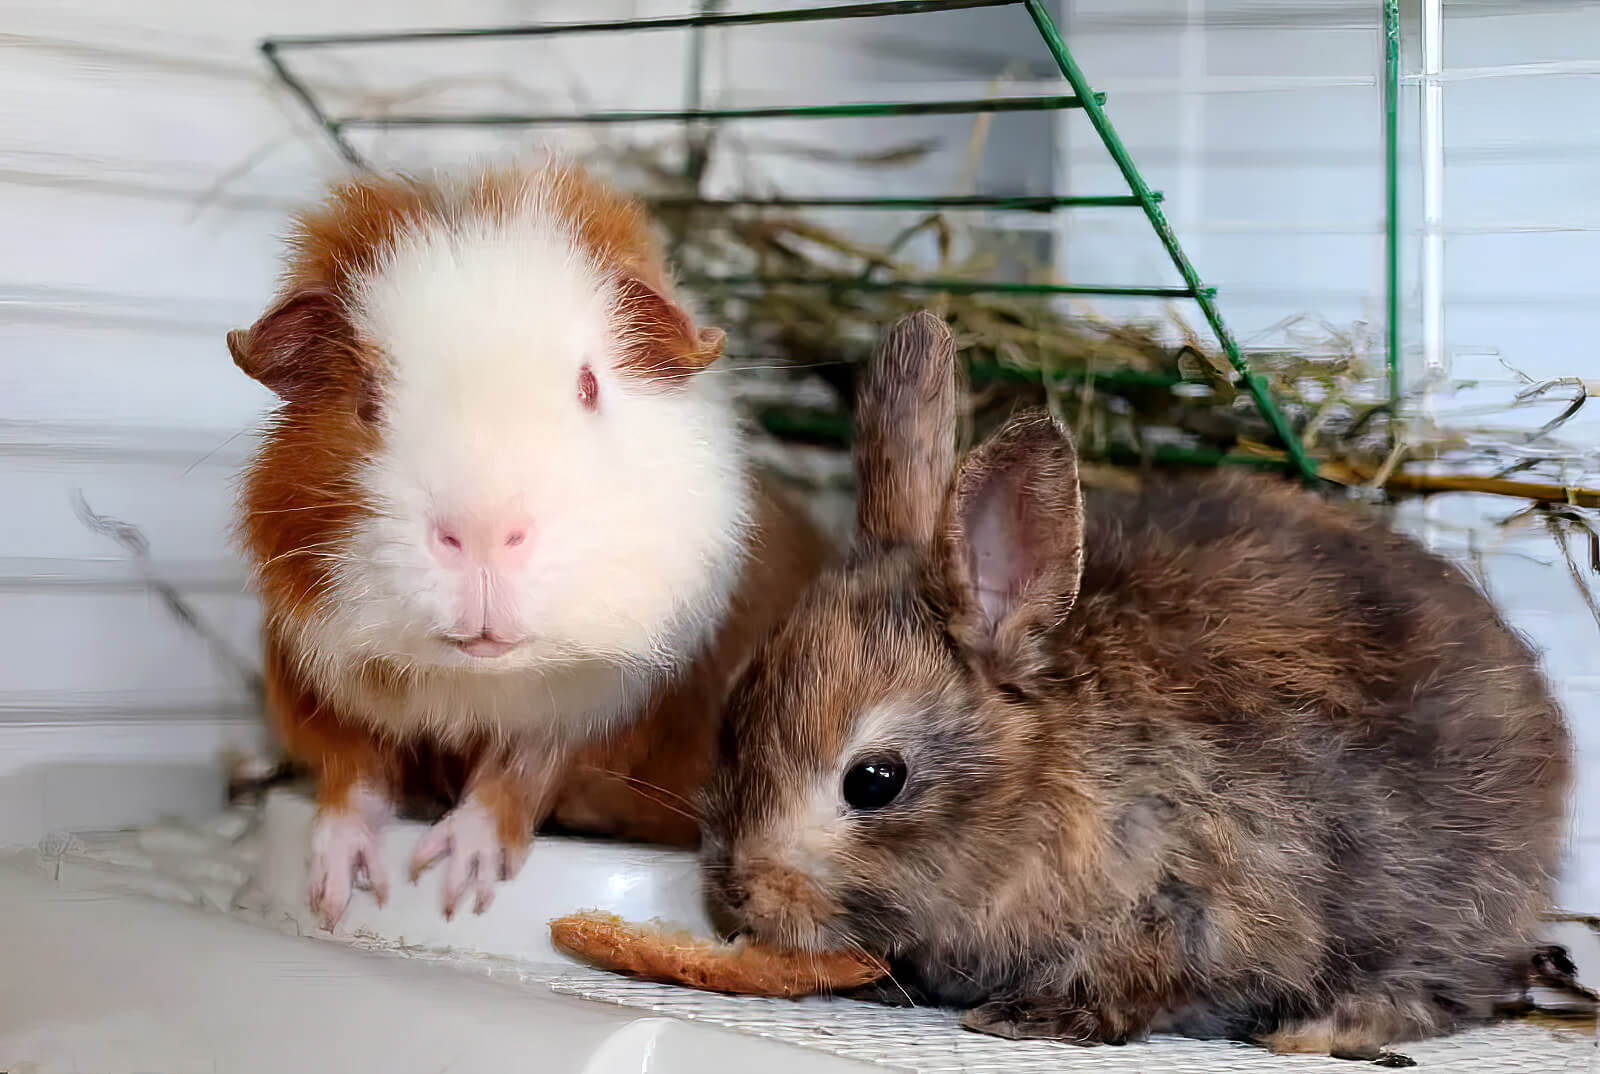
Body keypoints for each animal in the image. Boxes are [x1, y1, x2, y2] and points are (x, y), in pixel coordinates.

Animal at [699, 310, 1571, 1061]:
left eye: (875, 781)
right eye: (730, 719)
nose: (738, 894)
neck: (1041, 780)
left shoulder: (1199, 895)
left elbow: (1143, 976)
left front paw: (1033, 1017)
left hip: (1452, 902)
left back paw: (1317, 1029)